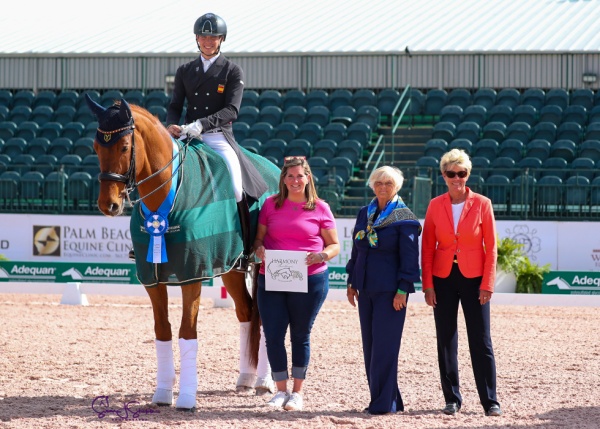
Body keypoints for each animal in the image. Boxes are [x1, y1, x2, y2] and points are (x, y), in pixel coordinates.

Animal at [86, 95, 278, 410]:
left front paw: (187, 397)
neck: (166, 197)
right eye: (95, 147)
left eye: (124, 146)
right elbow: (162, 330)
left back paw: (264, 381)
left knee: (263, 314)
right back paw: (246, 378)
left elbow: (187, 332)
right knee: (247, 312)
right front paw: (163, 393)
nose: (108, 205)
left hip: (260, 264)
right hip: (231, 268)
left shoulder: (193, 273)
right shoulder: (151, 277)